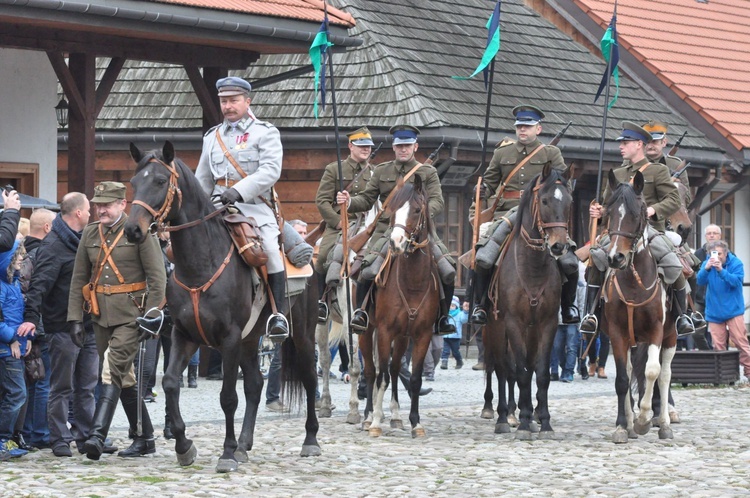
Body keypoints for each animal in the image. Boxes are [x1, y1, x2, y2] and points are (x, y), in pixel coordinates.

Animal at [124, 141, 324, 470]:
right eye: (133, 182)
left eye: (160, 181)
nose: (132, 230)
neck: (201, 263)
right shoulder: (184, 335)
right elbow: (170, 383)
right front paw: (184, 446)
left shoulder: (229, 339)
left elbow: (228, 397)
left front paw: (227, 452)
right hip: (250, 341)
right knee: (255, 385)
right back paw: (245, 444)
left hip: (302, 336)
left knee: (308, 379)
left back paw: (309, 440)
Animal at [362, 177, 444, 438]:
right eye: (392, 209)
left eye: (417, 210)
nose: (395, 243)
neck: (413, 284)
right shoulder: (384, 332)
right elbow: (381, 377)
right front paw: (376, 422)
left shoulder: (422, 335)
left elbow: (415, 378)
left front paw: (415, 423)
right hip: (365, 332)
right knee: (372, 371)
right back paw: (368, 416)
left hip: (402, 338)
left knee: (396, 369)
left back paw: (396, 416)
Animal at [482, 164, 576, 440]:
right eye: (544, 200)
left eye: (569, 202)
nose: (558, 246)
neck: (533, 268)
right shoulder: (513, 324)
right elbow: (520, 372)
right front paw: (523, 422)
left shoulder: (547, 324)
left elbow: (541, 372)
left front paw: (543, 422)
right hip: (494, 328)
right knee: (501, 369)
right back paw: (503, 416)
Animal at [604, 170, 680, 444]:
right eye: (608, 212)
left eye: (637, 214)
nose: (615, 258)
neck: (633, 283)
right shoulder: (617, 333)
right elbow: (622, 380)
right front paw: (622, 426)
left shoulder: (656, 331)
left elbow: (652, 372)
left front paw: (645, 420)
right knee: (629, 372)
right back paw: (629, 422)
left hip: (671, 335)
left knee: (665, 375)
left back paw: (665, 422)